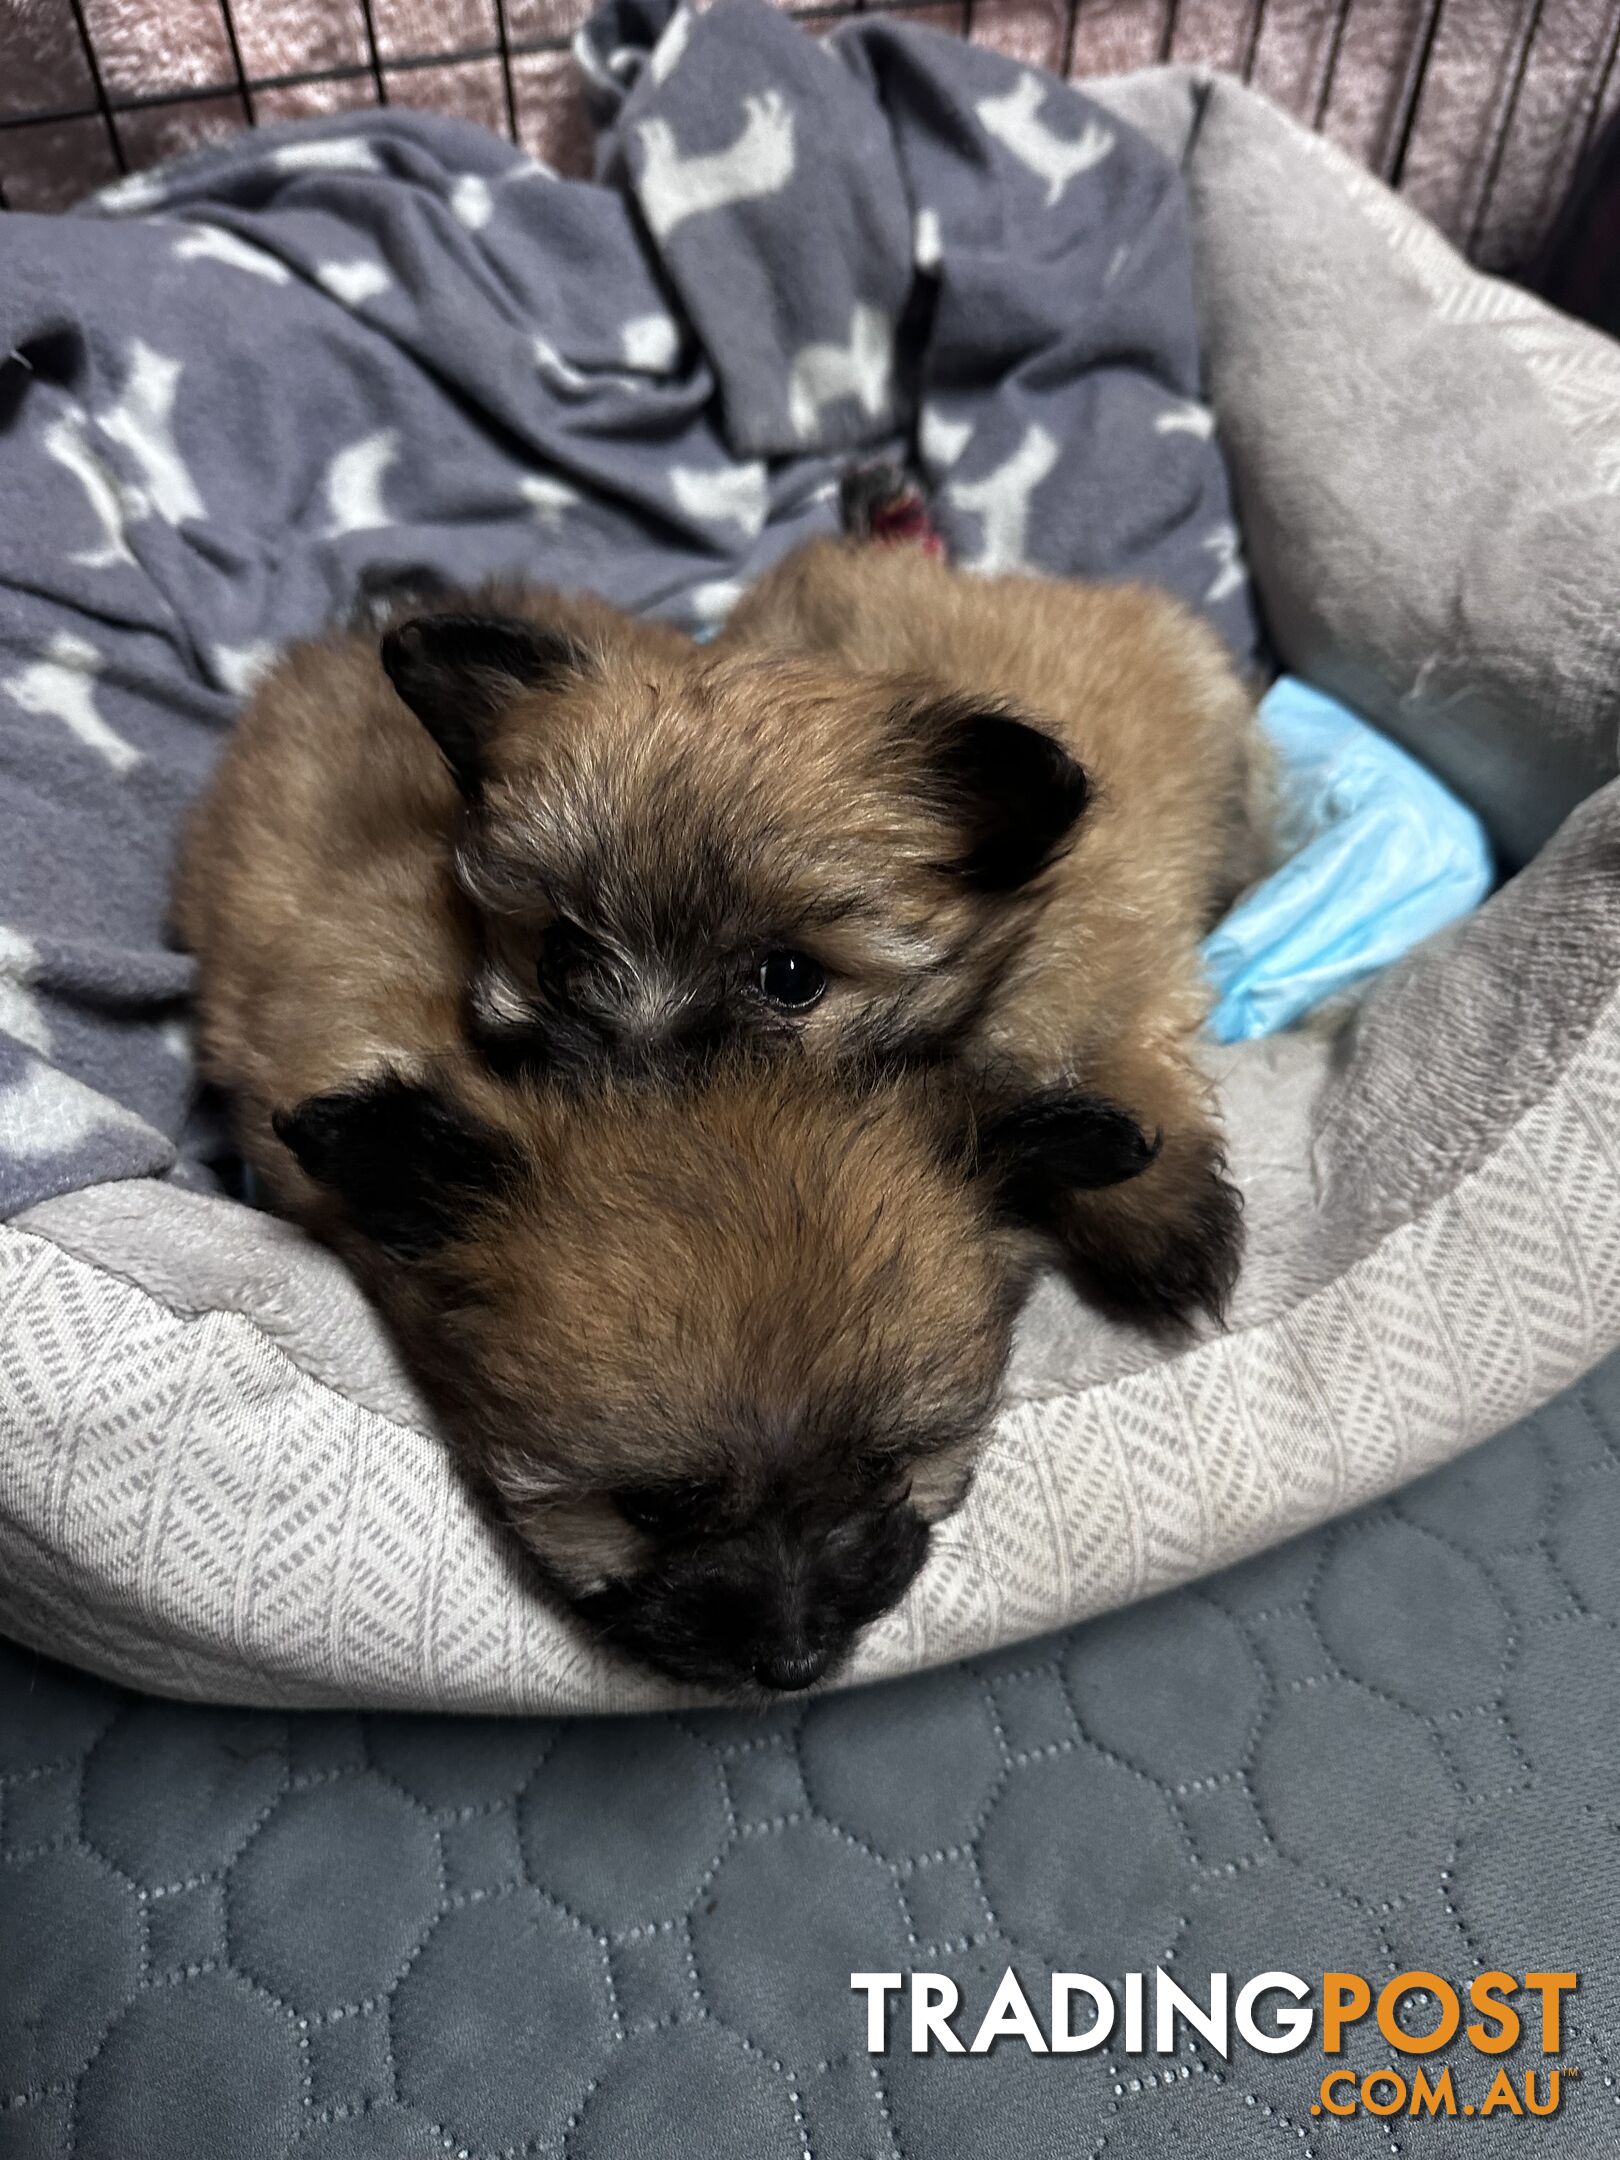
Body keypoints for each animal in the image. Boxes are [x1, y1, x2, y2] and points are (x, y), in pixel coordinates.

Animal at [378, 548, 1270, 1321]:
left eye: (790, 979)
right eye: (557, 953)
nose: (632, 1055)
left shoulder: (1117, 948)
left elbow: (1120, 1047)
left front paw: (1158, 1213)